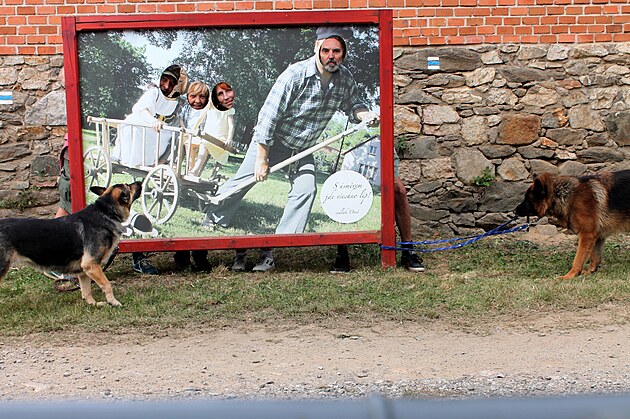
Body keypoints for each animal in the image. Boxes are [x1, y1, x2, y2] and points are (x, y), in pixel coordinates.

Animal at [0, 182, 143, 306]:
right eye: (129, 186)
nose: (140, 182)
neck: (105, 212)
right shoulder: (92, 265)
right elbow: (107, 284)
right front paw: (113, 302)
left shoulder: (84, 271)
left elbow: (86, 290)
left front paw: (93, 304)